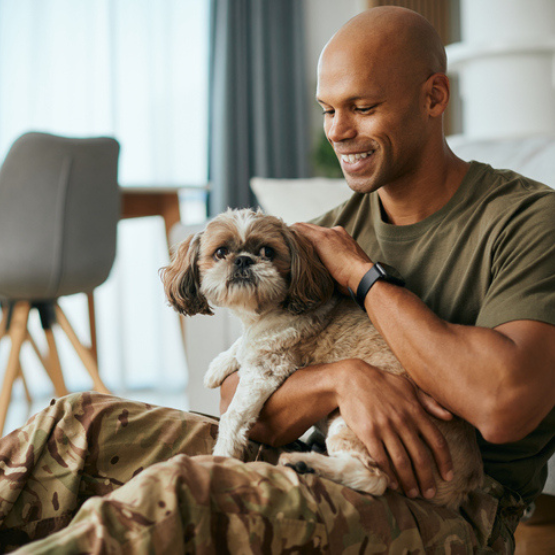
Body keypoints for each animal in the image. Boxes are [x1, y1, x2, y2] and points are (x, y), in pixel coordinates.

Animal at [163, 210, 484, 512]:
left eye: (267, 251)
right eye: (221, 252)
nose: (243, 260)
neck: (265, 312)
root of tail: (465, 484)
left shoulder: (266, 370)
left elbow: (233, 416)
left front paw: (222, 457)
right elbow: (242, 345)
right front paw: (219, 365)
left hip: (359, 424)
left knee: (374, 479)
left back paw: (307, 464)